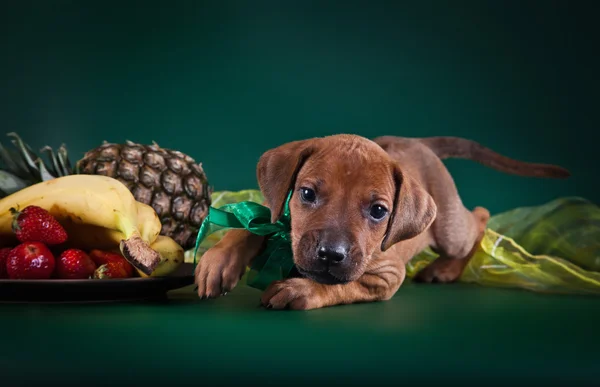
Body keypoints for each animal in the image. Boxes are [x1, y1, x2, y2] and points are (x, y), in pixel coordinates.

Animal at [195, 135, 568, 310]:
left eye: (378, 211)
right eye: (307, 193)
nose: (331, 254)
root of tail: (417, 143)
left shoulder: (386, 275)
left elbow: (339, 285)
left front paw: (302, 289)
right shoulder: (280, 221)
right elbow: (255, 225)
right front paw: (219, 260)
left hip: (450, 229)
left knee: (479, 217)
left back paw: (446, 268)